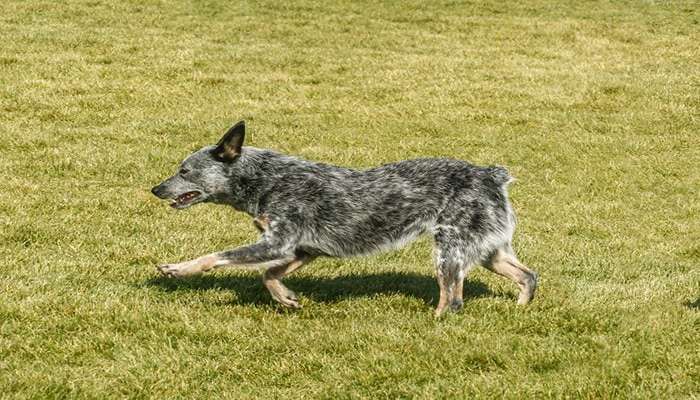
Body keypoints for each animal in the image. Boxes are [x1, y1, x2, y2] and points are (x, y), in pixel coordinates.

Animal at [150, 120, 540, 314]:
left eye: (184, 171)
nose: (155, 188)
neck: (266, 179)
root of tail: (491, 174)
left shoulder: (279, 242)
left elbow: (216, 256)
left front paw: (178, 268)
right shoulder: (302, 250)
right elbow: (268, 274)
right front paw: (286, 298)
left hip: (450, 250)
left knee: (453, 299)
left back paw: (435, 321)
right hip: (489, 251)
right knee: (528, 276)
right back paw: (520, 311)